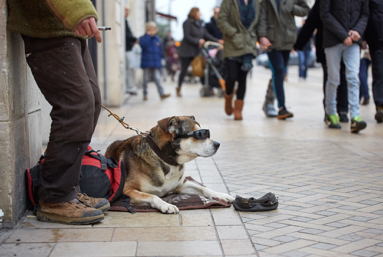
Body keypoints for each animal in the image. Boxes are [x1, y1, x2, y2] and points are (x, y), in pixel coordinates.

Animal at [106, 115, 236, 212]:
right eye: (199, 134)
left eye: (205, 132)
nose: (218, 144)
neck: (167, 161)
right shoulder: (126, 189)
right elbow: (152, 196)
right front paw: (166, 205)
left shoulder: (181, 185)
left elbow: (203, 188)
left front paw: (221, 195)